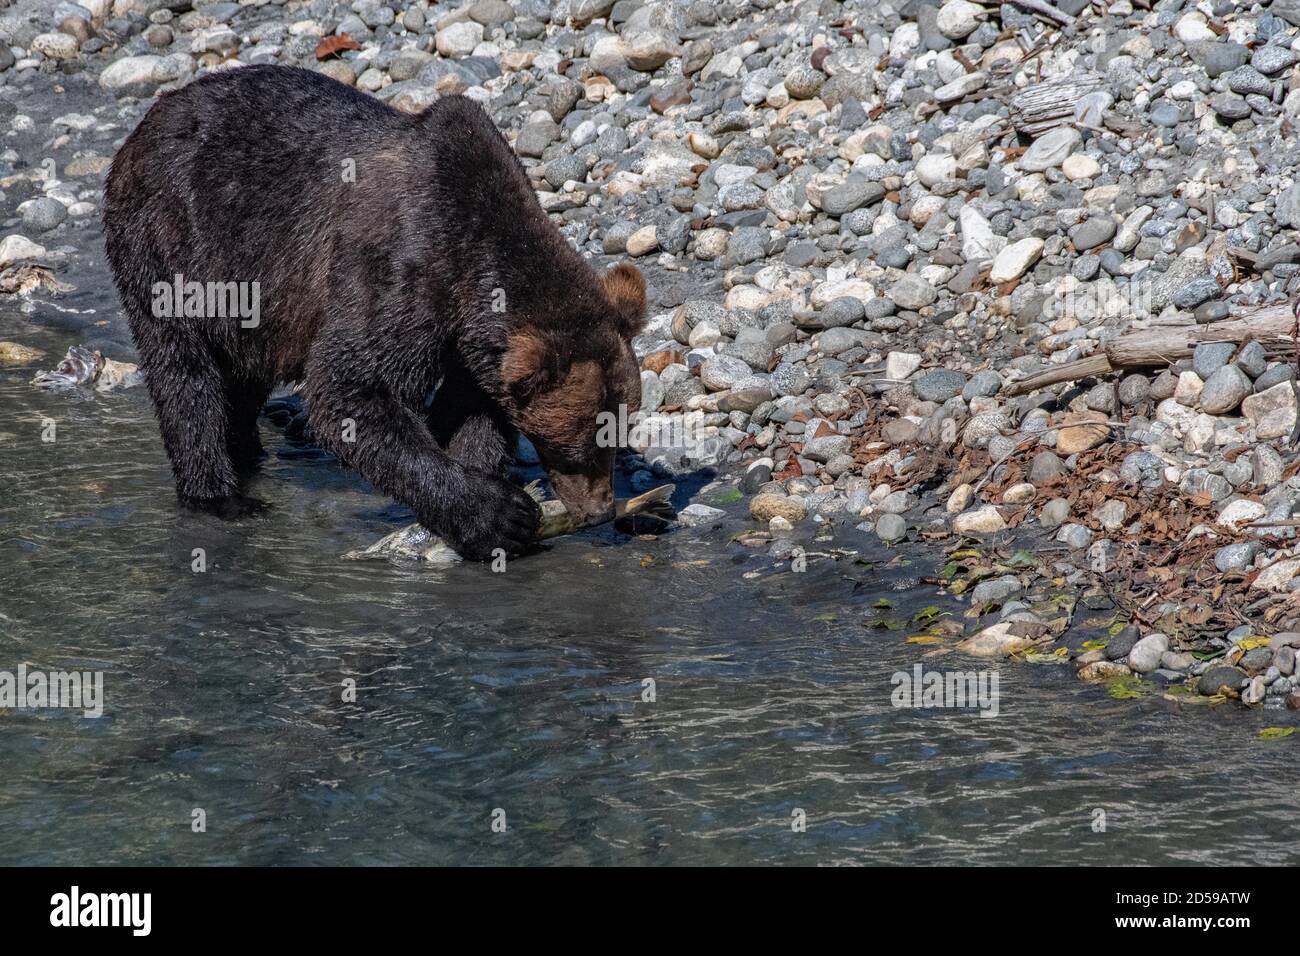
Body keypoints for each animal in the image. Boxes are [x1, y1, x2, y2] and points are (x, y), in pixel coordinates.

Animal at [104, 65, 647, 561]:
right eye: (579, 445)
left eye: (617, 434)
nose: (601, 511)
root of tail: (152, 115)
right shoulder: (399, 275)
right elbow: (350, 390)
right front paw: (498, 515)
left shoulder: (473, 341)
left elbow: (473, 414)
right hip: (169, 241)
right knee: (184, 373)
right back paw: (219, 494)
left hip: (251, 300)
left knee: (241, 374)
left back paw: (247, 453)